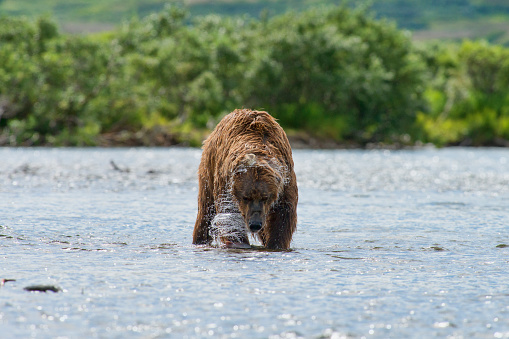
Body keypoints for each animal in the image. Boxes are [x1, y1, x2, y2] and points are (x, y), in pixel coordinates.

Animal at [193, 109, 298, 250]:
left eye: (265, 197)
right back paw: (200, 240)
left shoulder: (285, 179)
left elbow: (284, 214)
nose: (255, 224)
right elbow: (229, 214)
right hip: (208, 167)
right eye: (245, 197)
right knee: (205, 212)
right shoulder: (226, 182)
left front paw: (275, 244)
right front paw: (240, 243)